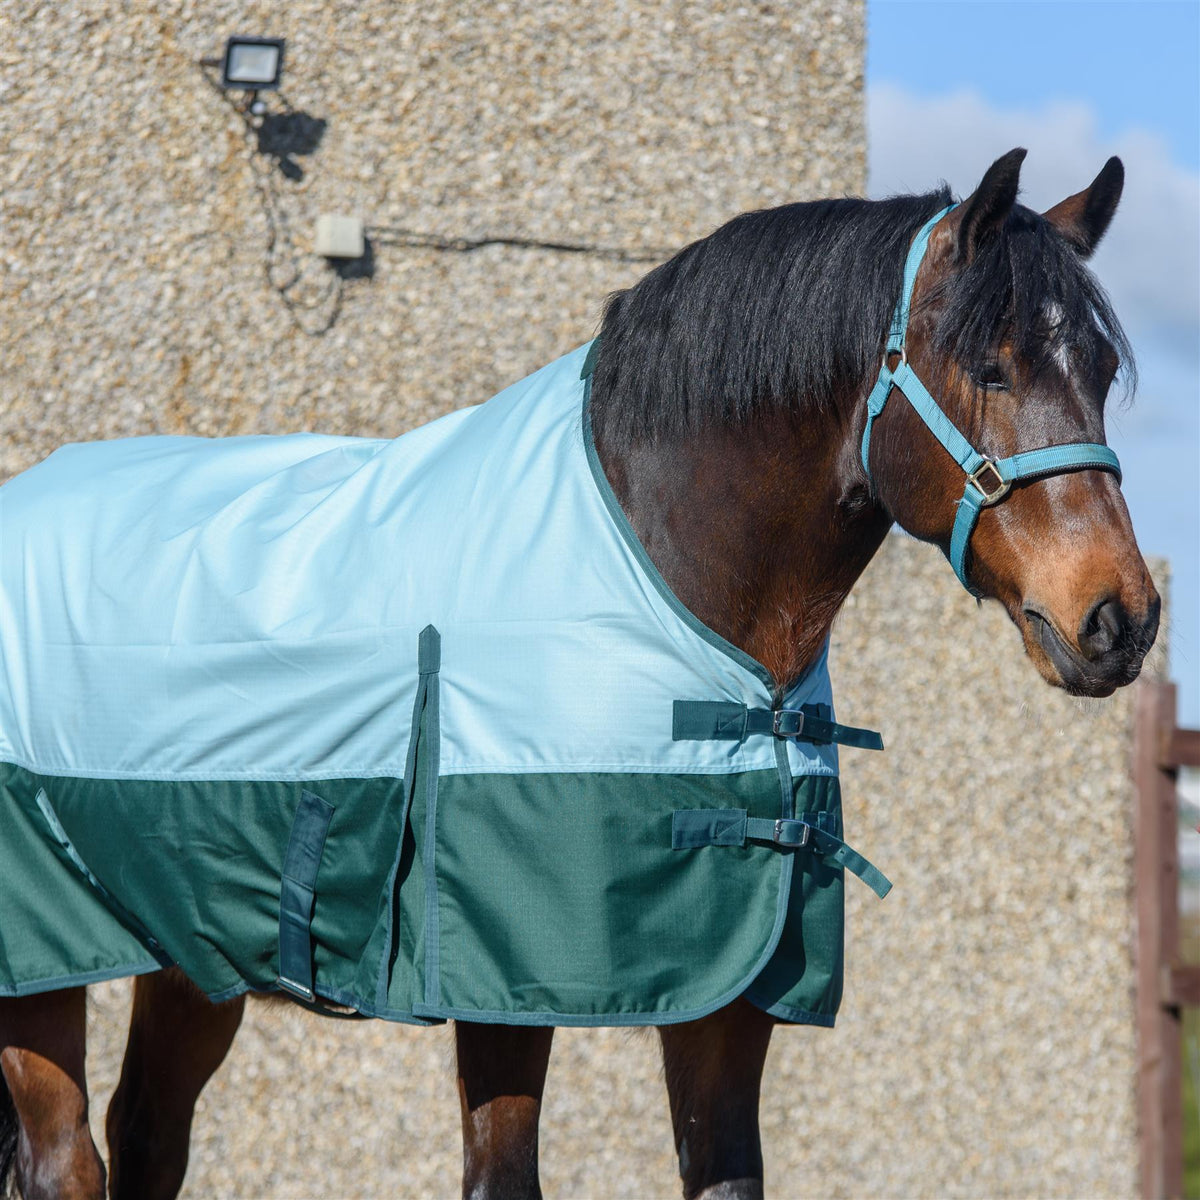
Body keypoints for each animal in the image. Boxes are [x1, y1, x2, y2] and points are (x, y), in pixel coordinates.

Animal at [0, 148, 1160, 1200]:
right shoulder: (504, 984)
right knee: (66, 1163)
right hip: (42, 965)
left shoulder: (733, 995)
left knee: (148, 1137)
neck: (662, 571)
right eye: (993, 366)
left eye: (1101, 376)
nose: (1120, 618)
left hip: (190, 961)